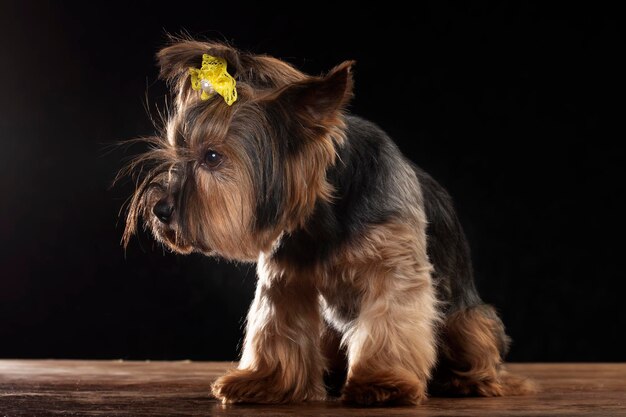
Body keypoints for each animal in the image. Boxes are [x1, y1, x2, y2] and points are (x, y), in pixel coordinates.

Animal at [123, 38, 536, 404]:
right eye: (177, 150)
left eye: (212, 157)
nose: (160, 210)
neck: (324, 214)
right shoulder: (286, 276)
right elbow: (276, 325)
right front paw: (265, 381)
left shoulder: (394, 267)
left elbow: (391, 319)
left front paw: (382, 383)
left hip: (466, 320)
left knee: (478, 343)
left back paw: (472, 381)